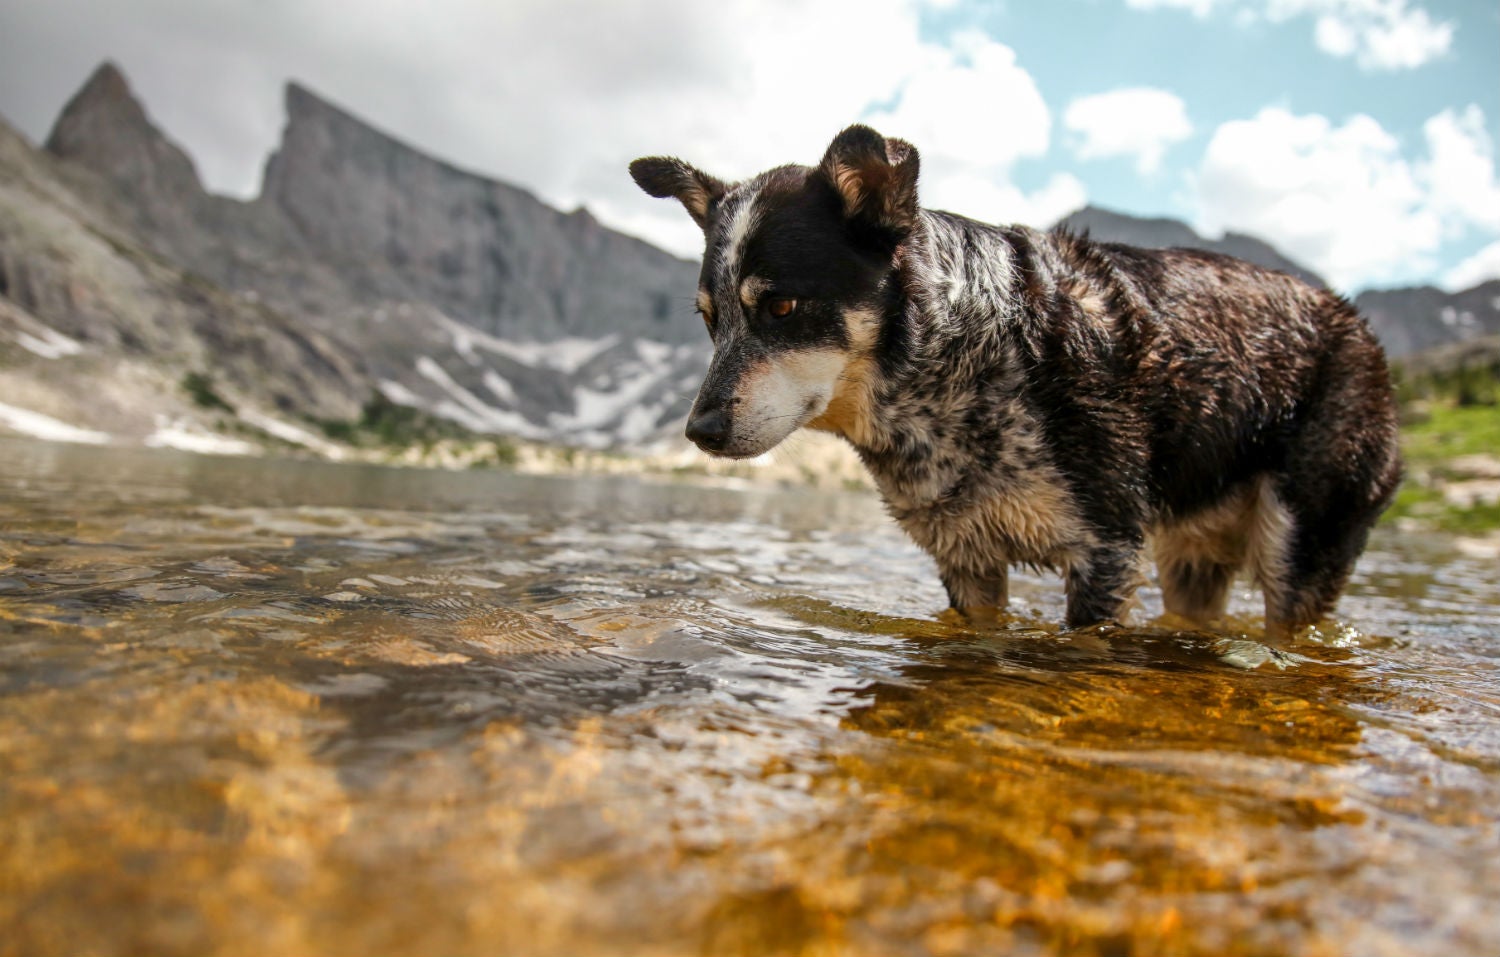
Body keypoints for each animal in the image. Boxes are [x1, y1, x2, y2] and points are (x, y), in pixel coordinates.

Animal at [633, 126, 1404, 636]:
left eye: (783, 308)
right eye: (710, 320)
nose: (699, 430)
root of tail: (1358, 326)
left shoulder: (1105, 553)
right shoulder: (966, 559)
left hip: (1300, 545)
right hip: (1191, 561)